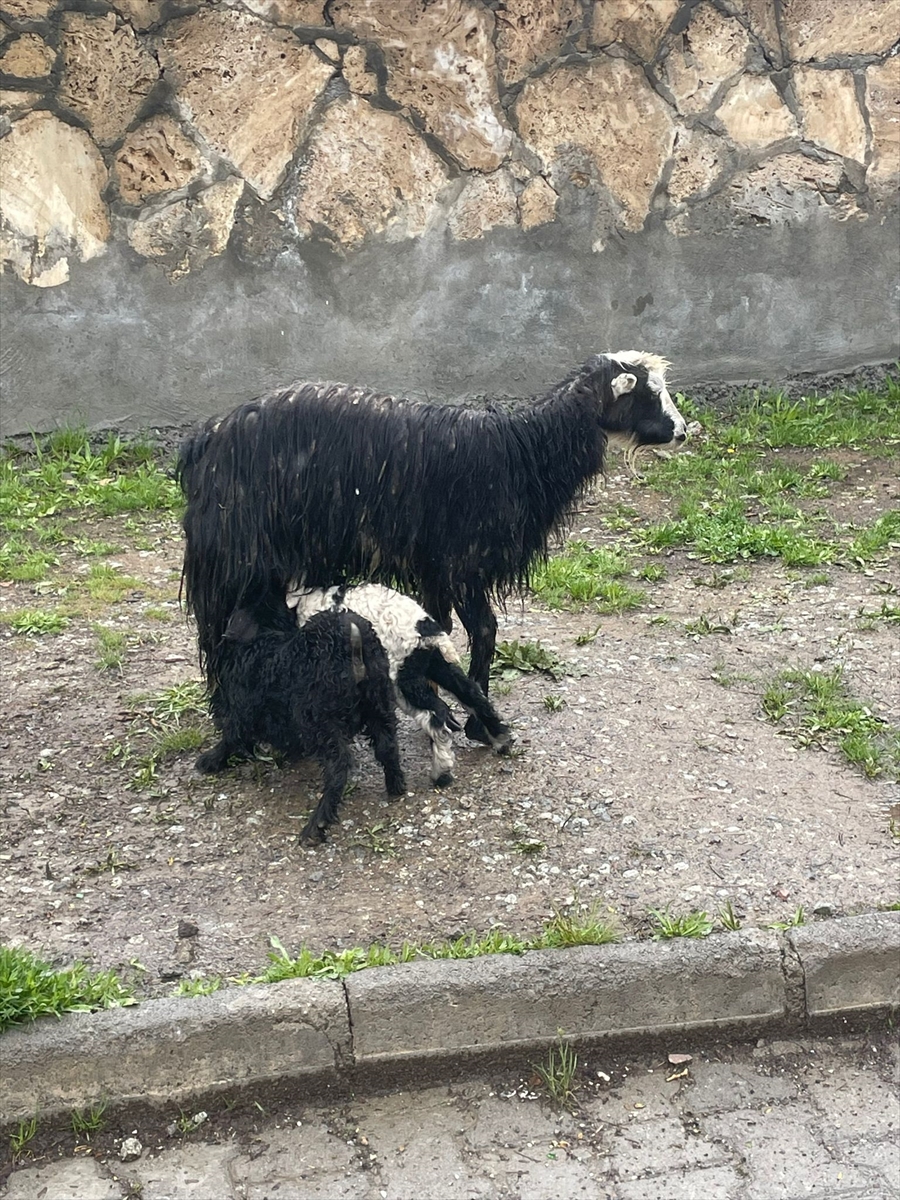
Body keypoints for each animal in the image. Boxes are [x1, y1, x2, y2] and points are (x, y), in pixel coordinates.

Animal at [200, 600, 408, 844]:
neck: (257, 646)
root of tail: (353, 642)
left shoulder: (241, 710)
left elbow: (231, 737)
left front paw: (209, 760)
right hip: (379, 703)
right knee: (387, 746)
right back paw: (396, 785)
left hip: (319, 721)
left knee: (338, 767)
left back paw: (316, 824)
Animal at [289, 580, 513, 787]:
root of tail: (424, 629)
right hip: (435, 664)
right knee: (471, 693)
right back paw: (501, 738)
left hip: (401, 680)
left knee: (434, 714)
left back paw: (441, 771)